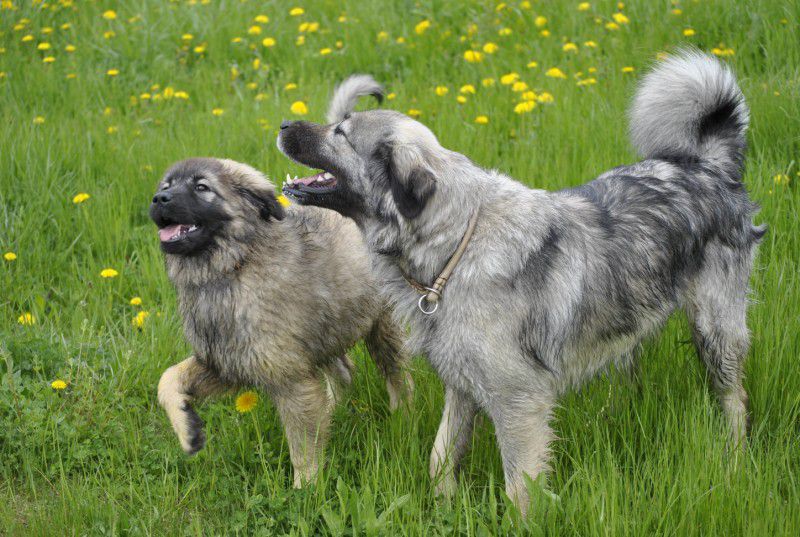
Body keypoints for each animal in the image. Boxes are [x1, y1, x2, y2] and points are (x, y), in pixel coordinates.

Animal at [278, 53, 764, 510]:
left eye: (341, 133)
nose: (283, 124)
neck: (458, 243)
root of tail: (708, 166)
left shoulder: (519, 402)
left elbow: (519, 487)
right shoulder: (463, 384)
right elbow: (440, 456)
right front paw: (445, 505)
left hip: (716, 332)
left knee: (734, 400)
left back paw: (734, 460)